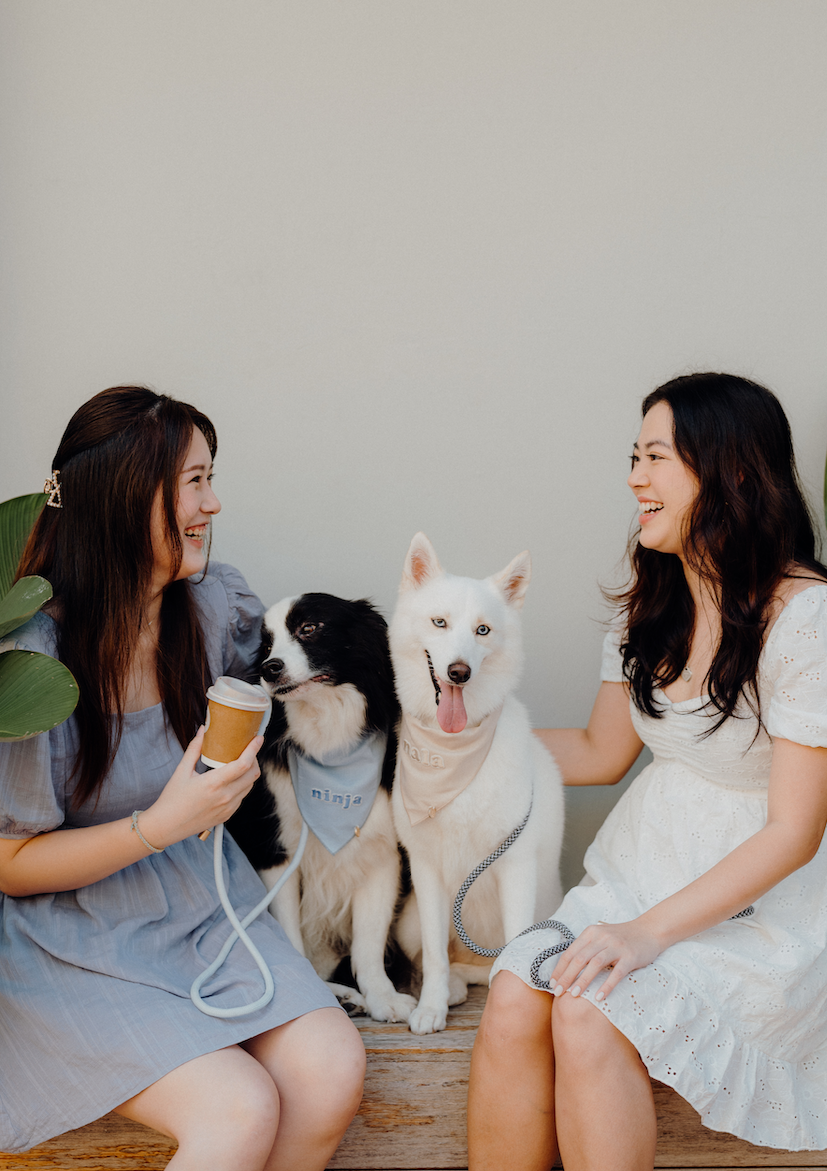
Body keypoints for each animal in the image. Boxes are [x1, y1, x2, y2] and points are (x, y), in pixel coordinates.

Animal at [227, 590, 412, 1021]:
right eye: (266, 645)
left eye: (309, 628)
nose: (269, 668)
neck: (329, 745)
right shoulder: (274, 850)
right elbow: (290, 933)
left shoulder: (382, 852)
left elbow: (369, 938)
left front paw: (382, 996)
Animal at [391, 533, 559, 1035]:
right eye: (440, 623)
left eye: (483, 630)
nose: (459, 673)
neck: (452, 753)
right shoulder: (426, 872)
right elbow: (434, 955)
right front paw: (431, 1007)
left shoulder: (516, 866)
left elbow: (512, 953)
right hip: (408, 920)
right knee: (443, 961)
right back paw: (451, 989)